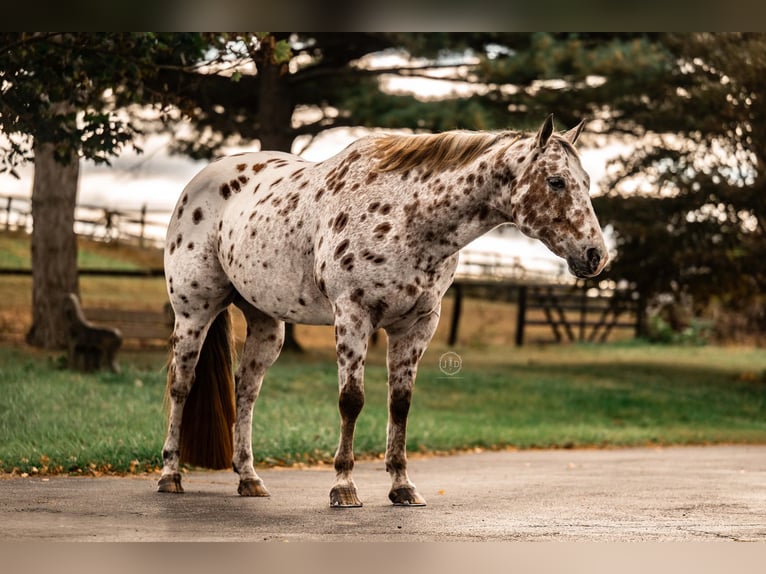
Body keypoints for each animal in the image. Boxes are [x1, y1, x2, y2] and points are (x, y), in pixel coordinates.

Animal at [157, 114, 608, 507]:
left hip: (266, 324)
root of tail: (198, 183)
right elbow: (351, 400)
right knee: (181, 385)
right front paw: (344, 486)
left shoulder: (417, 326)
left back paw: (249, 479)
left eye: (586, 182)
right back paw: (170, 475)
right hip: (193, 313)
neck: (407, 217)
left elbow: (400, 404)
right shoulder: (353, 316)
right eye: (556, 181)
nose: (596, 256)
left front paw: (402, 487)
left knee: (247, 390)